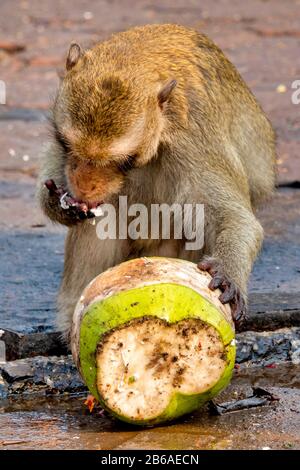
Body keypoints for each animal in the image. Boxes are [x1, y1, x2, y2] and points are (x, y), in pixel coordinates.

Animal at [38, 24, 276, 338]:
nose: (84, 187)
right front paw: (58, 204)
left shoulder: (193, 135)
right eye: (65, 144)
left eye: (126, 161)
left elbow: (232, 217)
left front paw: (227, 274)